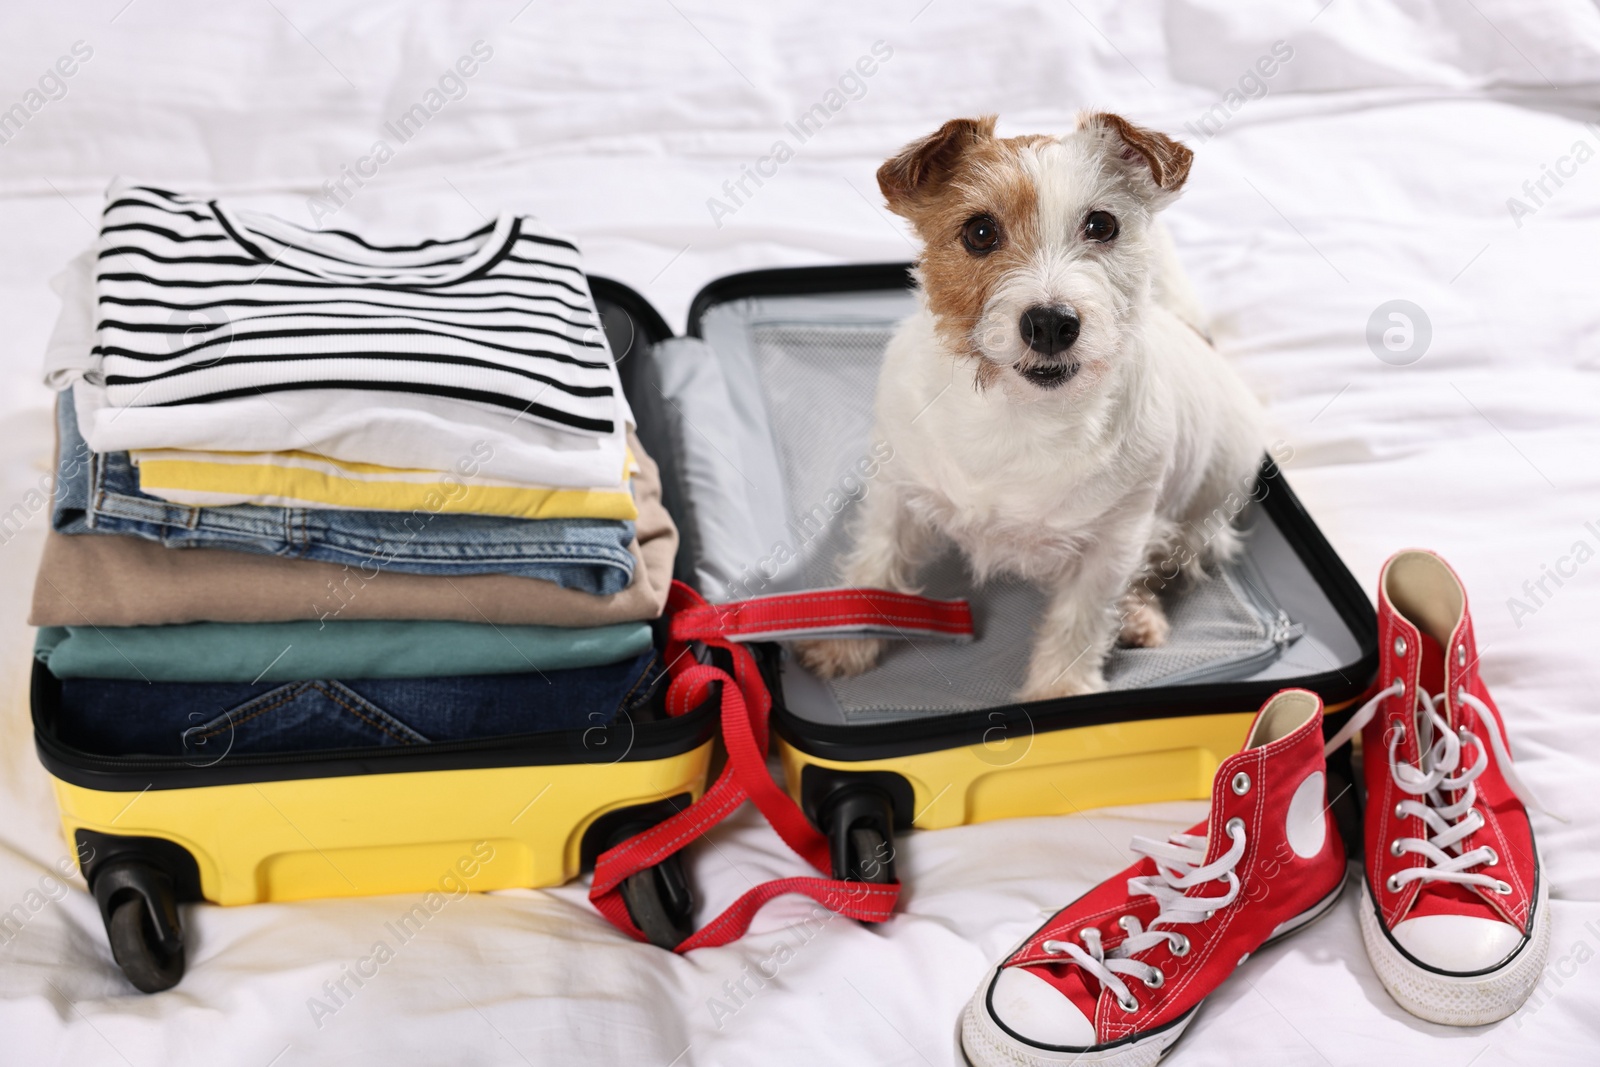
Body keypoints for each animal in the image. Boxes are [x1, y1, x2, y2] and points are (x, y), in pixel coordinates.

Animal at [793, 115, 1267, 700]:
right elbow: (875, 567)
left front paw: (1059, 693)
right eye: (979, 232)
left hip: (1196, 523)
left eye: (1102, 225)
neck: (1016, 415)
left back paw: (1137, 615)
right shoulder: (896, 495)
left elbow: (1080, 622)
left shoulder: (1112, 545)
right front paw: (846, 638)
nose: (1050, 323)